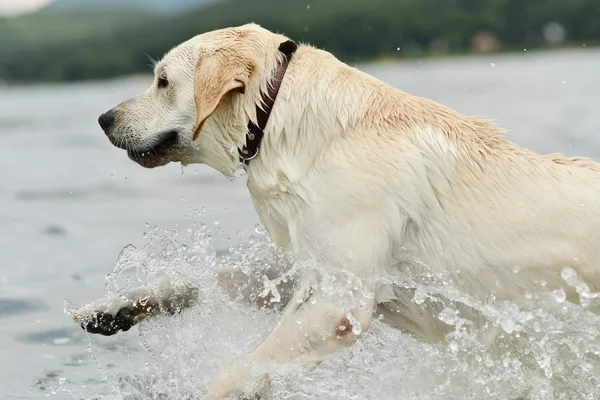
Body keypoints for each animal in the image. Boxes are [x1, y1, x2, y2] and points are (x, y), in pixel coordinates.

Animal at [75, 23, 600, 398]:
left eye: (163, 82)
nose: (102, 119)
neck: (278, 116)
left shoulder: (339, 301)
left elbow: (243, 369)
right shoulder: (308, 264)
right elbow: (205, 279)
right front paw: (117, 306)